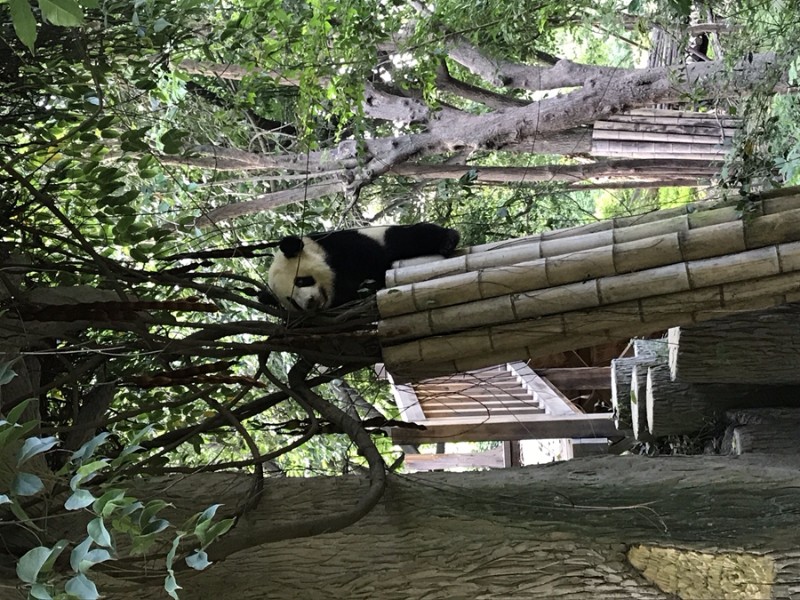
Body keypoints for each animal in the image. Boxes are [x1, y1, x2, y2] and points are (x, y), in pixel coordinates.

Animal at [262, 223, 460, 312]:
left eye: (301, 281)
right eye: (293, 301)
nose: (310, 303)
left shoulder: (343, 245)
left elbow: (373, 261)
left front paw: (367, 284)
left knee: (408, 237)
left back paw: (448, 241)